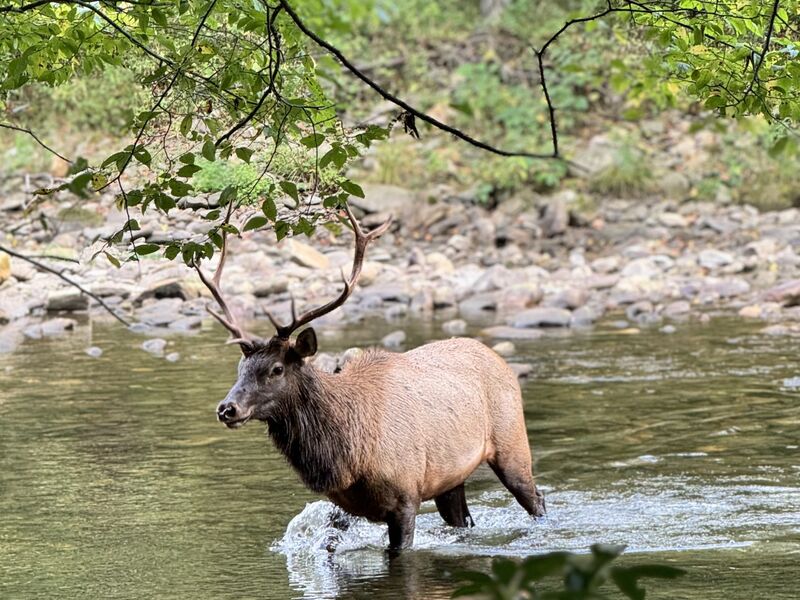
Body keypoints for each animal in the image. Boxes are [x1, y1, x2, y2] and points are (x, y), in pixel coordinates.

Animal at [194, 205, 546, 552]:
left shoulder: (405, 496)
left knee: (536, 498)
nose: (227, 409)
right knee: (463, 520)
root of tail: (499, 360)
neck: (349, 455)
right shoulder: (344, 504)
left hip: (512, 442)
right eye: (241, 368)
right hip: (450, 477)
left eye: (276, 369)